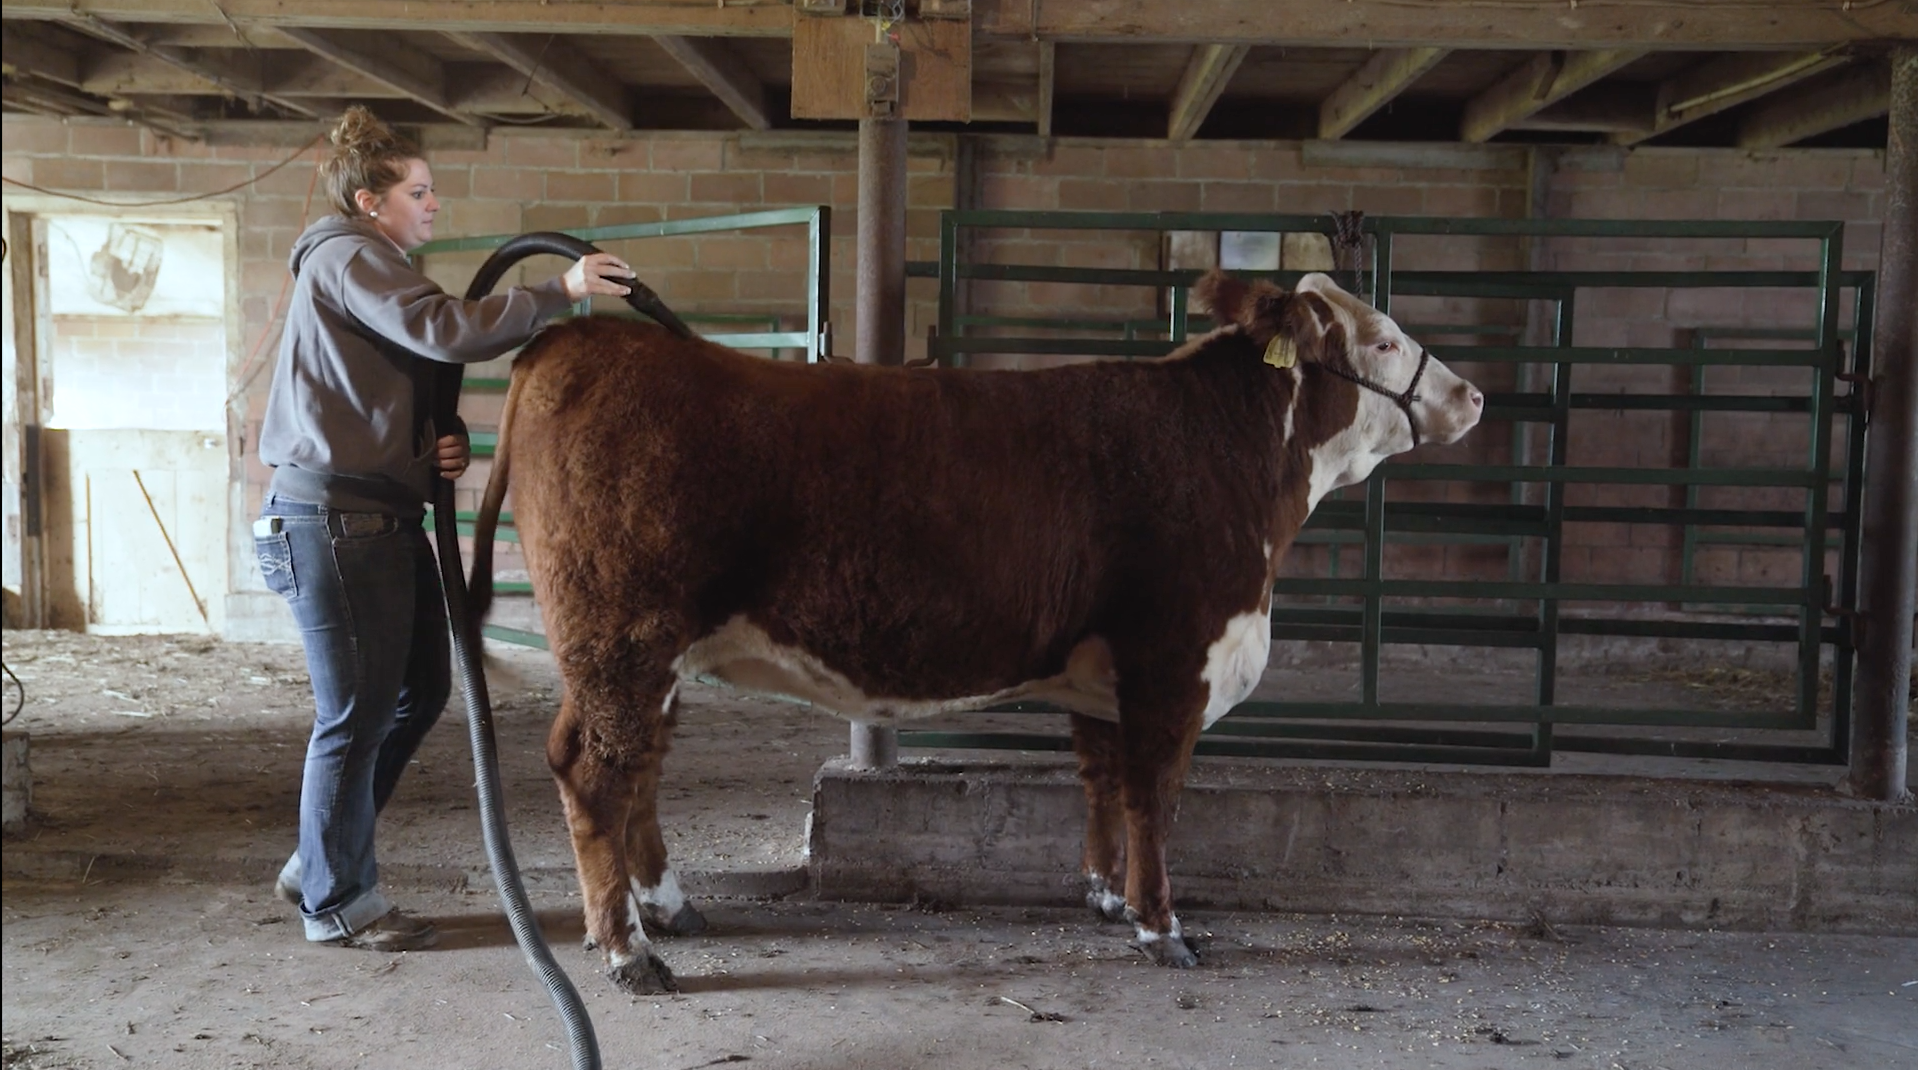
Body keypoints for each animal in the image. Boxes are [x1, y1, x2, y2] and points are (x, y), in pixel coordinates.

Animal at [468, 269, 1484, 994]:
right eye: (1384, 339)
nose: (1471, 396)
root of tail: (575, 338)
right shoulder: (1173, 657)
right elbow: (1156, 798)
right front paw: (1162, 927)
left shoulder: (1106, 676)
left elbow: (1101, 783)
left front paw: (1104, 896)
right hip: (620, 636)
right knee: (596, 771)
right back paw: (628, 953)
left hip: (654, 650)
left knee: (639, 767)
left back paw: (670, 908)